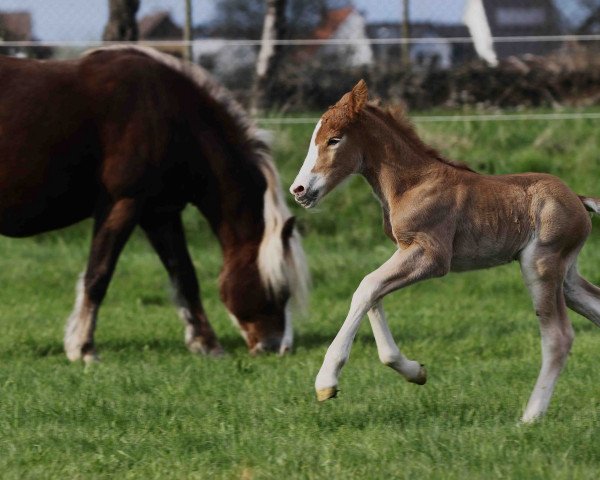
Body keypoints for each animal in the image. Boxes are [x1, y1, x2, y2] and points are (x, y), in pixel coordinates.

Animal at [0, 47, 308, 362]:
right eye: (280, 290)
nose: (276, 347)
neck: (167, 111)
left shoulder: (160, 213)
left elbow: (185, 275)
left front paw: (207, 343)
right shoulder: (122, 204)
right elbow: (98, 275)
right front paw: (83, 347)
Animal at [290, 80, 600, 422]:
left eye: (334, 139)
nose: (299, 190)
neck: (412, 183)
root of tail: (579, 199)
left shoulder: (432, 256)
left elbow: (367, 286)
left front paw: (326, 381)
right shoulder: (404, 249)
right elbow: (373, 293)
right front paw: (414, 371)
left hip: (540, 265)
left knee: (558, 337)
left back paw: (530, 417)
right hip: (566, 275)